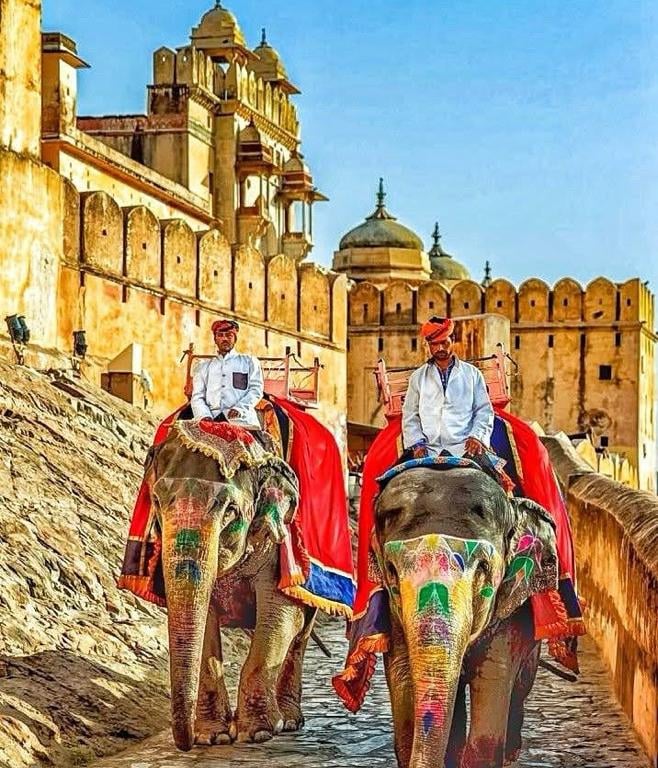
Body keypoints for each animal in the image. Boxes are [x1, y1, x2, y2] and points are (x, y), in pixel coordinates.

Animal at [148, 426, 316, 752]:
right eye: (157, 502)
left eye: (230, 510)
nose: (186, 744)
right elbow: (206, 623)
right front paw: (213, 736)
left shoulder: (278, 543)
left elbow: (281, 615)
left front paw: (259, 733)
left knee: (299, 637)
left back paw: (289, 721)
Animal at [374, 466, 559, 768]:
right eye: (391, 569)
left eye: (483, 567)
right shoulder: (392, 614)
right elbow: (403, 680)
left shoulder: (508, 609)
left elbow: (494, 679)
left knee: (520, 686)